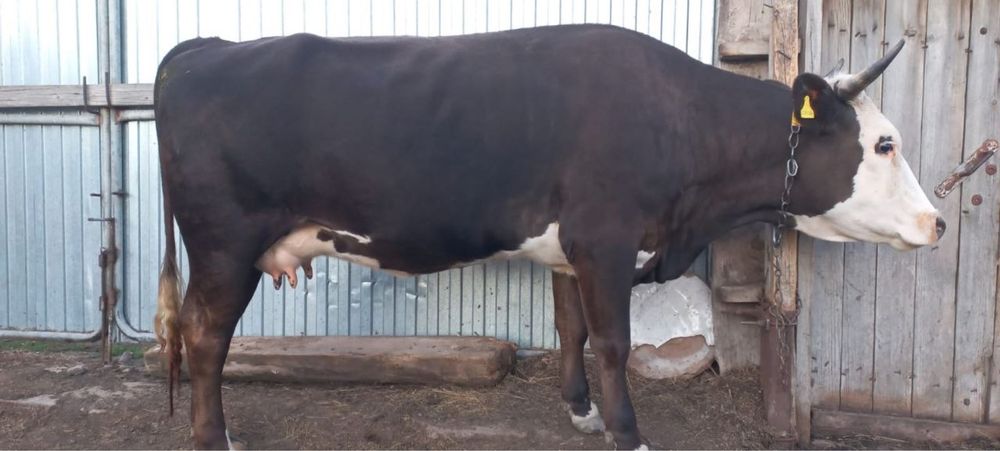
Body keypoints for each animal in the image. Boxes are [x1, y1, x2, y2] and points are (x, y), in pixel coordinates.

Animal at [152, 24, 942, 449]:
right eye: (883, 144)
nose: (935, 222)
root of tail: (202, 48)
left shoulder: (571, 247)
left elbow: (571, 329)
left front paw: (582, 411)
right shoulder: (608, 239)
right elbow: (613, 341)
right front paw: (629, 430)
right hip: (224, 245)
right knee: (205, 335)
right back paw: (213, 436)